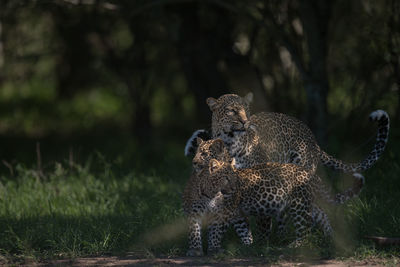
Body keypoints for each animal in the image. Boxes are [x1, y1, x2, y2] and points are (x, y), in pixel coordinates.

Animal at [184, 139, 366, 256]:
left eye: (204, 153)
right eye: (197, 152)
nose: (193, 162)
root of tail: (310, 173)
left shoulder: (228, 211)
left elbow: (219, 231)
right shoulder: (234, 214)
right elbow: (243, 231)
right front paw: (249, 246)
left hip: (298, 205)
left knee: (305, 230)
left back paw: (293, 246)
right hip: (309, 203)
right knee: (322, 216)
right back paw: (332, 239)